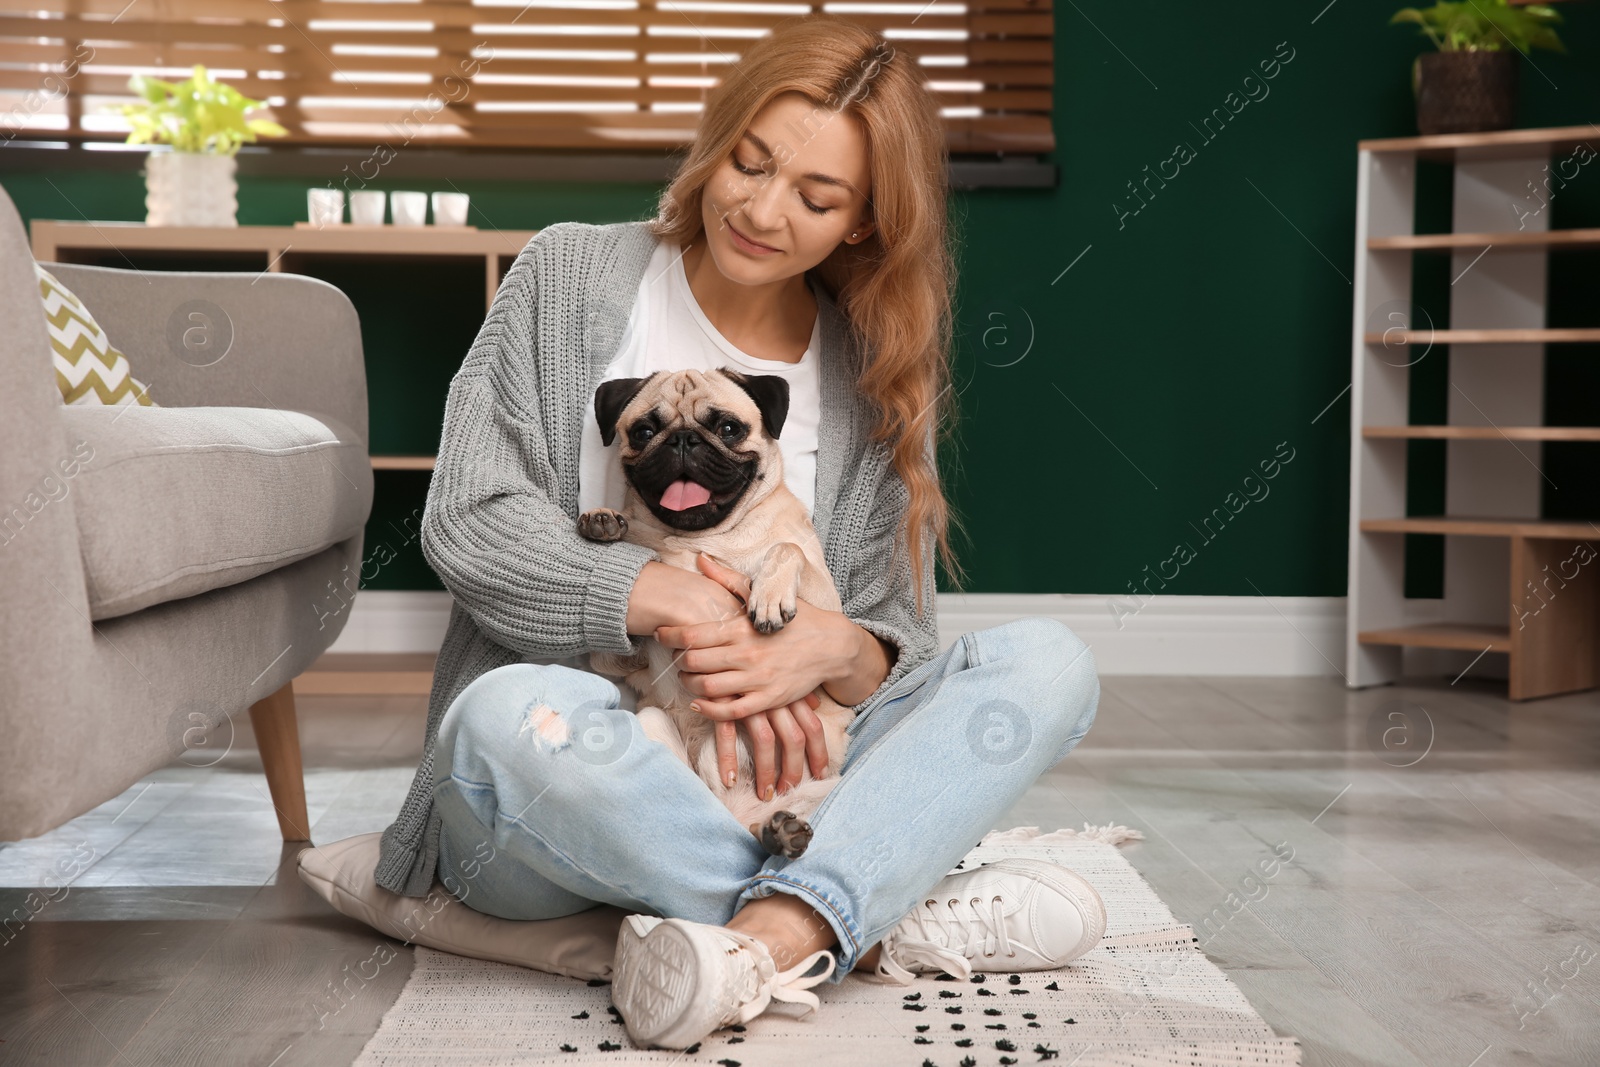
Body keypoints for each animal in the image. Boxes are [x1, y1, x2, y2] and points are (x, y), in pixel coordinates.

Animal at [576, 367, 851, 857]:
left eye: (727, 428)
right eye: (643, 431)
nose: (683, 439)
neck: (704, 538)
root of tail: (737, 809)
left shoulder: (826, 606)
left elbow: (787, 549)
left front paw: (768, 595)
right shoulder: (621, 658)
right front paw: (603, 520)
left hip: (828, 789)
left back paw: (783, 831)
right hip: (652, 725)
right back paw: (774, 832)